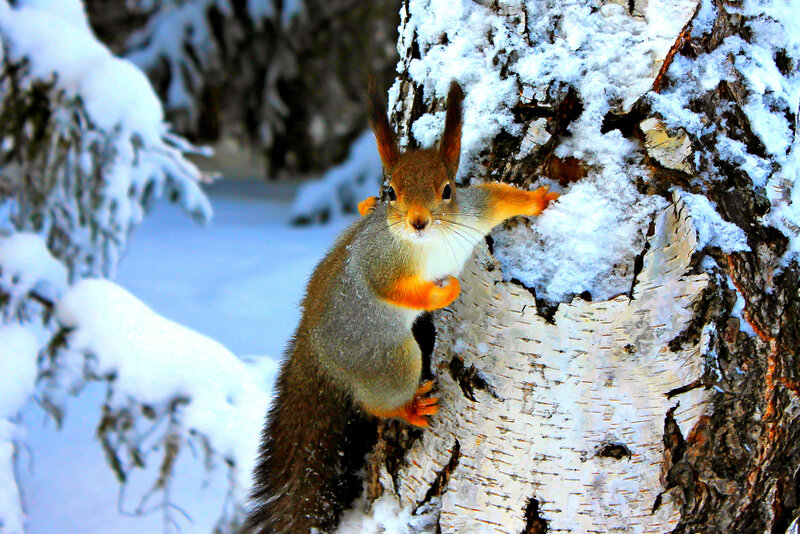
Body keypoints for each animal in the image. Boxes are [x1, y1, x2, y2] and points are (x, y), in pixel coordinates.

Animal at [244, 82, 558, 533]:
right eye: (391, 191)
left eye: (447, 190)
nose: (418, 221)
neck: (432, 243)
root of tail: (313, 346)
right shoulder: (380, 263)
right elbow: (393, 290)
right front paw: (444, 291)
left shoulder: (474, 212)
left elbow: (500, 198)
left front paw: (538, 199)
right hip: (389, 358)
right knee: (377, 401)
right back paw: (408, 407)